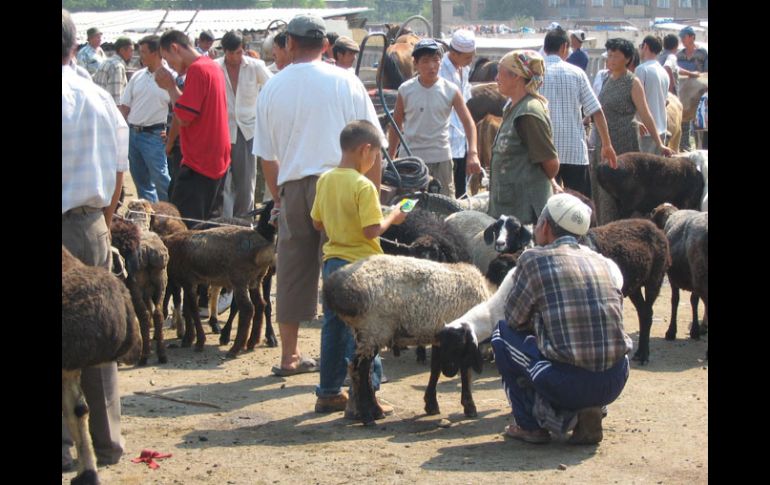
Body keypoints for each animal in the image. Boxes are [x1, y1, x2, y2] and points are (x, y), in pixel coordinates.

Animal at [320, 253, 492, 424]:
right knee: (359, 370)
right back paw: (368, 415)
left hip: (364, 333)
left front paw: (431, 404)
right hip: (373, 330)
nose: (449, 372)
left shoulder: (439, 337)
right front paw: (469, 406)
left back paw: (375, 411)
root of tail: (333, 287)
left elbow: (435, 368)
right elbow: (465, 372)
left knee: (360, 370)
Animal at [648, 204, 708, 340]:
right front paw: (695, 330)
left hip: (700, 274)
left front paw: (671, 331)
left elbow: (675, 300)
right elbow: (693, 300)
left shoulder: (675, 278)